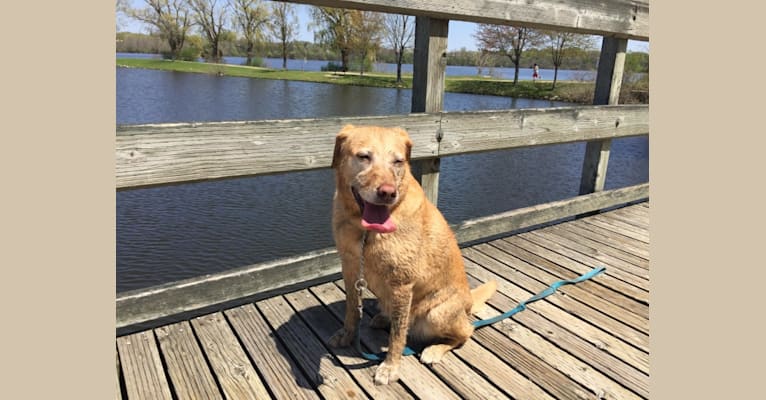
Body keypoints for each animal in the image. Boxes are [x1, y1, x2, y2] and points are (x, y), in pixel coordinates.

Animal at [328, 125, 498, 384]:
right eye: (364, 156)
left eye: (398, 161)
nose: (388, 193)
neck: (366, 231)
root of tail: (469, 302)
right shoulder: (349, 268)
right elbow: (351, 310)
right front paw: (347, 334)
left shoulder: (402, 284)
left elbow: (398, 335)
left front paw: (390, 367)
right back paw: (382, 318)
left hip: (436, 313)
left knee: (465, 333)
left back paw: (434, 350)